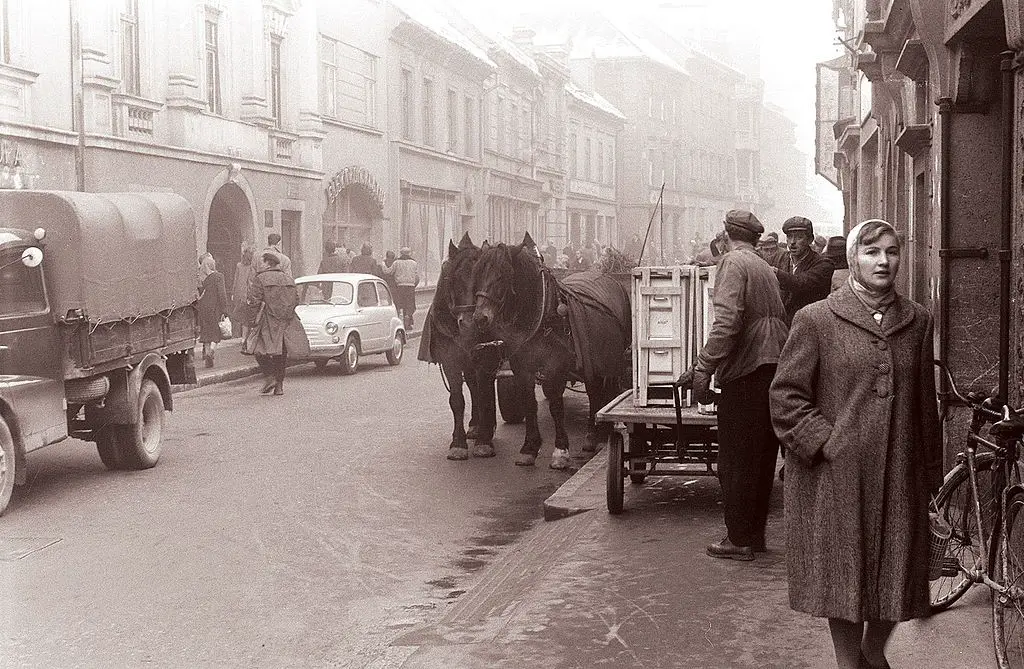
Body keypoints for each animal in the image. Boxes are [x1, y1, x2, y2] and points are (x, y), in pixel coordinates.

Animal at [417, 233, 497, 460]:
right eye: (453, 278)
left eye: (483, 279)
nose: (470, 323)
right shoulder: (451, 360)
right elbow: (457, 400)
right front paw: (458, 443)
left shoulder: (485, 358)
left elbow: (485, 394)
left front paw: (484, 441)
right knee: (472, 387)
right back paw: (474, 426)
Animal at [471, 232, 630, 469]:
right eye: (478, 273)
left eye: (502, 276)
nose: (480, 317)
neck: (544, 317)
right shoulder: (522, 369)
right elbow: (529, 403)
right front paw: (529, 448)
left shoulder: (556, 368)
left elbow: (556, 406)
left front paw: (560, 451)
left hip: (604, 362)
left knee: (596, 393)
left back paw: (595, 435)